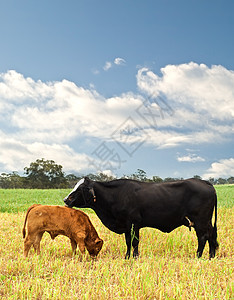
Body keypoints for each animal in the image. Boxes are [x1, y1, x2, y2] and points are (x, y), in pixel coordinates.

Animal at [63, 177, 218, 258]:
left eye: (81, 188)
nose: (65, 199)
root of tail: (205, 182)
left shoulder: (133, 223)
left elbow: (134, 242)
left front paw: (134, 257)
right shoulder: (127, 226)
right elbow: (128, 242)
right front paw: (127, 257)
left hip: (200, 221)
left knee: (203, 237)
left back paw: (198, 256)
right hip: (206, 222)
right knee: (211, 236)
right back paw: (211, 256)